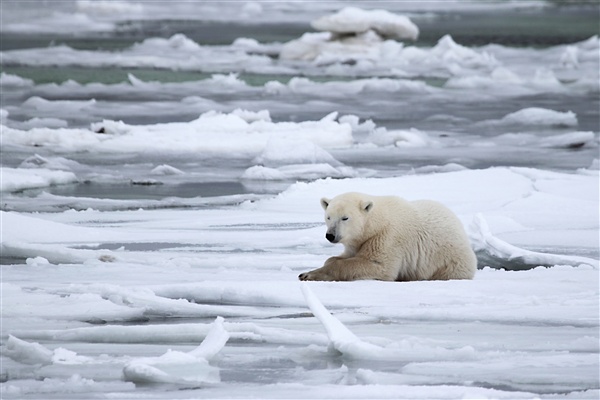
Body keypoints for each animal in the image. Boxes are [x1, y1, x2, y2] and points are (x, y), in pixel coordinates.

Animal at [298, 193, 476, 282]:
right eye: (328, 217)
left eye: (345, 218)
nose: (330, 235)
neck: (377, 222)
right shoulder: (357, 242)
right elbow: (339, 257)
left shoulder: (387, 238)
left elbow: (380, 266)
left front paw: (308, 275)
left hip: (448, 261)